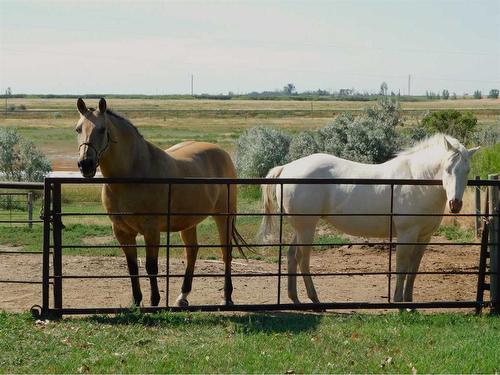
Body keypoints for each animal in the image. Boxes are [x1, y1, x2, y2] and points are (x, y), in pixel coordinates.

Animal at [75, 98, 245, 306]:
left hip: (223, 216)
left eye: (102, 129)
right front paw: (136, 302)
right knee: (192, 251)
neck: (134, 172)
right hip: (189, 222)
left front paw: (154, 301)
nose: (85, 164)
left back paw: (227, 297)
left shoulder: (151, 230)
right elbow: (132, 268)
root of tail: (222, 153)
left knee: (225, 253)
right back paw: (182, 297)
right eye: (78, 129)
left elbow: (151, 266)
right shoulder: (122, 232)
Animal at [260, 135, 478, 306]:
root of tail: (287, 168)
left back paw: (295, 298)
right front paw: (398, 302)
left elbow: (414, 269)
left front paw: (409, 302)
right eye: (447, 169)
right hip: (307, 227)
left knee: (291, 256)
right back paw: (315, 300)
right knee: (302, 259)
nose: (455, 204)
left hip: (300, 227)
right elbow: (401, 266)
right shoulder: (407, 234)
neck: (417, 180)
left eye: (467, 170)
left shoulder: (424, 236)